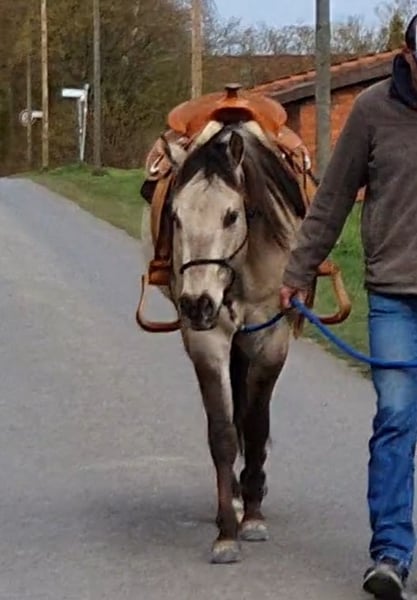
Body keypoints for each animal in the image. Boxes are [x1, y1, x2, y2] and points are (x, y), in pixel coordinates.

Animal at [140, 118, 307, 564]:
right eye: (176, 216)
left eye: (232, 215)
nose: (197, 303)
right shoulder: (208, 342)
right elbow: (223, 432)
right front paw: (227, 531)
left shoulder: (271, 340)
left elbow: (256, 424)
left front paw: (253, 516)